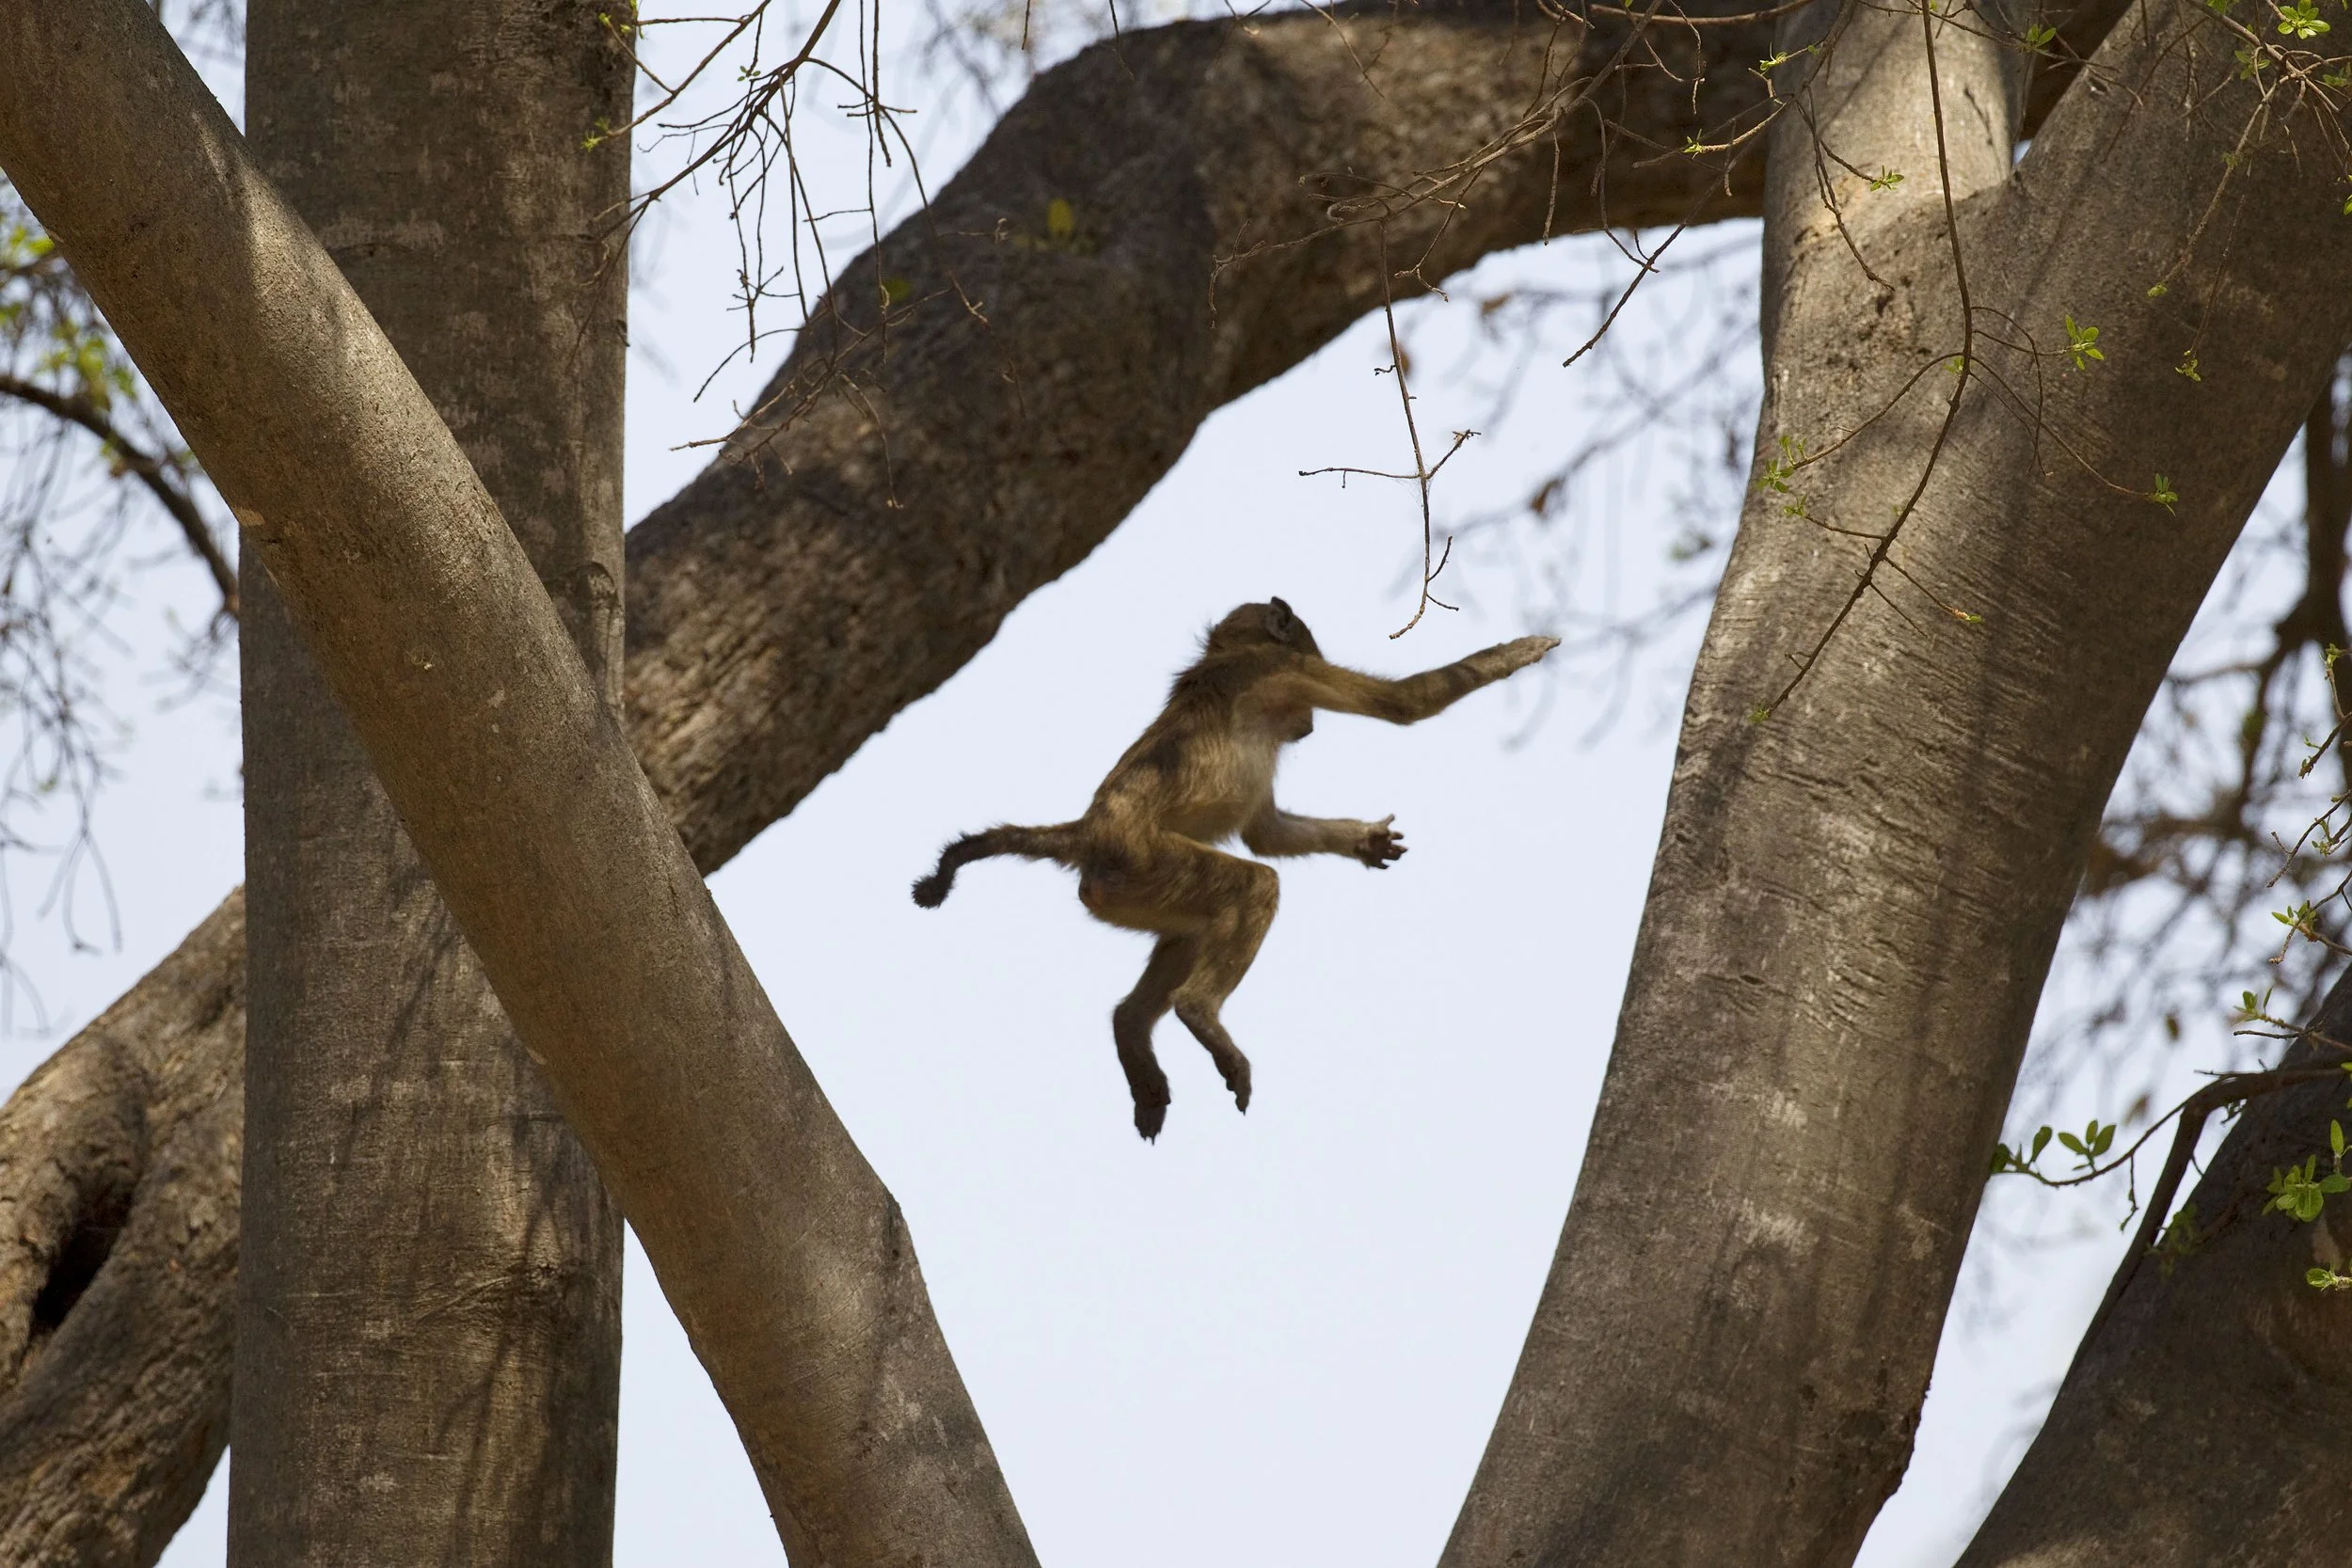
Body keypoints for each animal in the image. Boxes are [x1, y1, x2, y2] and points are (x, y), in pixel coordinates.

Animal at [913, 598, 1558, 1140]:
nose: (1309, 726)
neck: (1225, 655)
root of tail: (1088, 831)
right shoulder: (1284, 669)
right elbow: (1404, 705)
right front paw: (1520, 650)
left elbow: (1264, 834)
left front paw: (1362, 841)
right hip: (1143, 861)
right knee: (1253, 886)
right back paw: (1200, 1014)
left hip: (1123, 890)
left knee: (1192, 930)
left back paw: (1134, 1034)